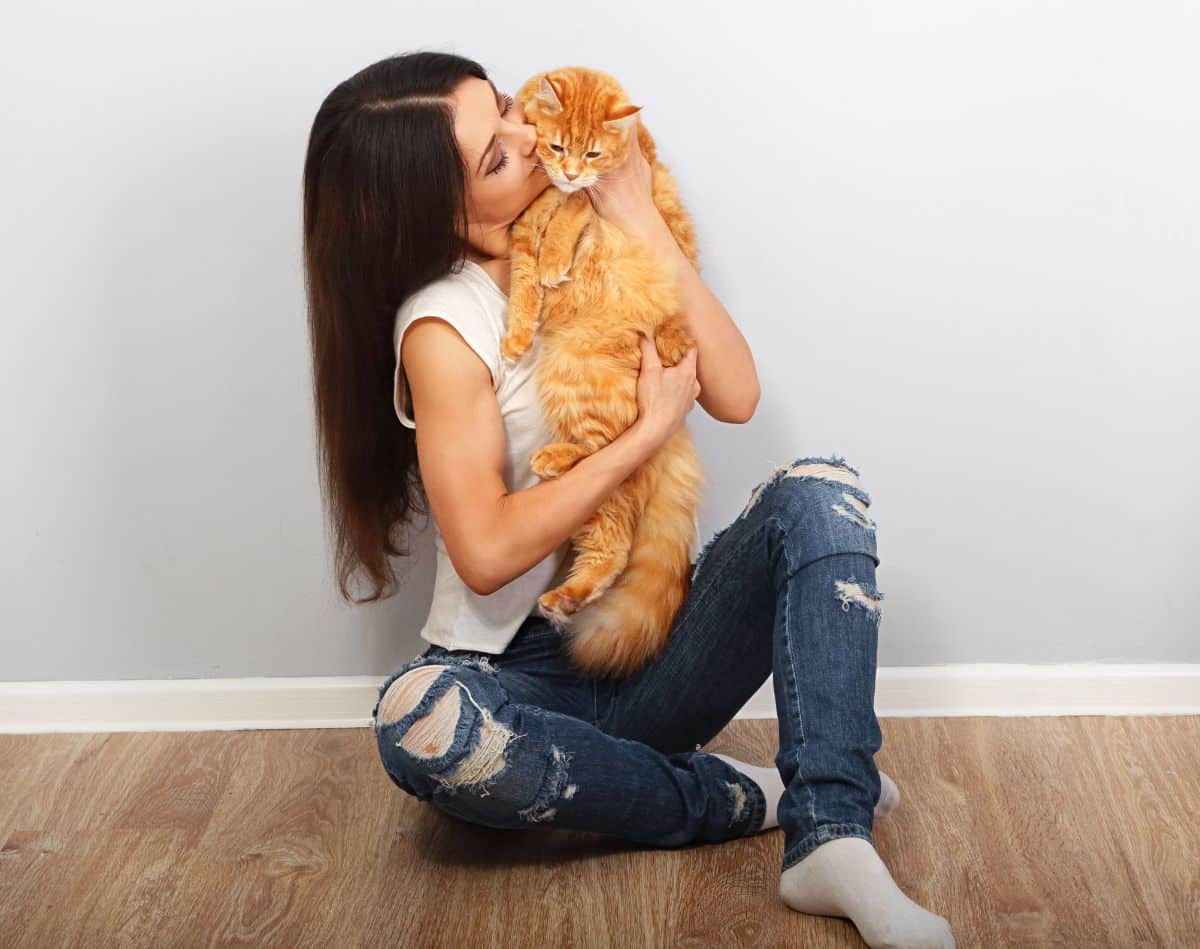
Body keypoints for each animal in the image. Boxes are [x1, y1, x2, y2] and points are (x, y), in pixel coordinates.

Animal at [501, 62, 705, 681]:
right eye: (556, 146)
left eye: (591, 153)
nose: (569, 172)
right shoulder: (521, 231)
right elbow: (524, 287)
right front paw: (518, 333)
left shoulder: (599, 192)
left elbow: (574, 213)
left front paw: (558, 256)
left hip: (579, 375)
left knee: (612, 479)